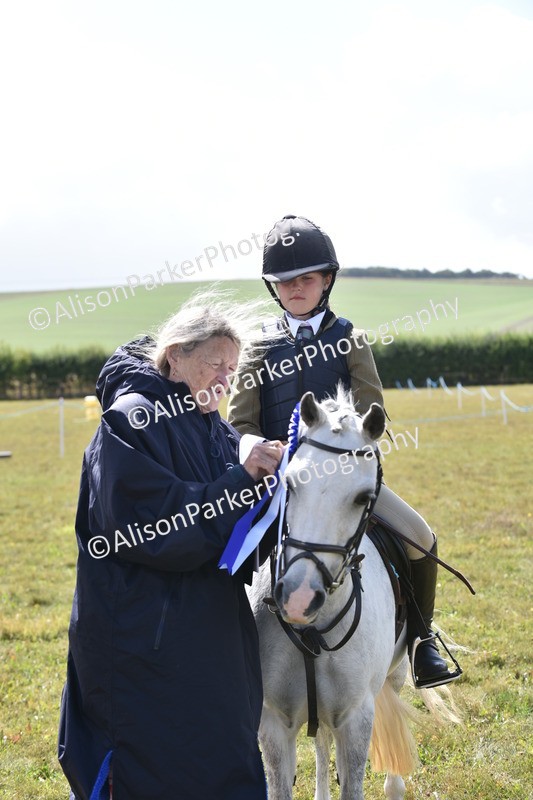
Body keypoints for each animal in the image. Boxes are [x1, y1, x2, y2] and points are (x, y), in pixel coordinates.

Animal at [249, 388, 427, 800]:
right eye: (290, 484)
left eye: (363, 498)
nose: (298, 599)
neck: (313, 629)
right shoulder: (273, 723)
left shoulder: (356, 718)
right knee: (320, 739)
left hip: (395, 673)